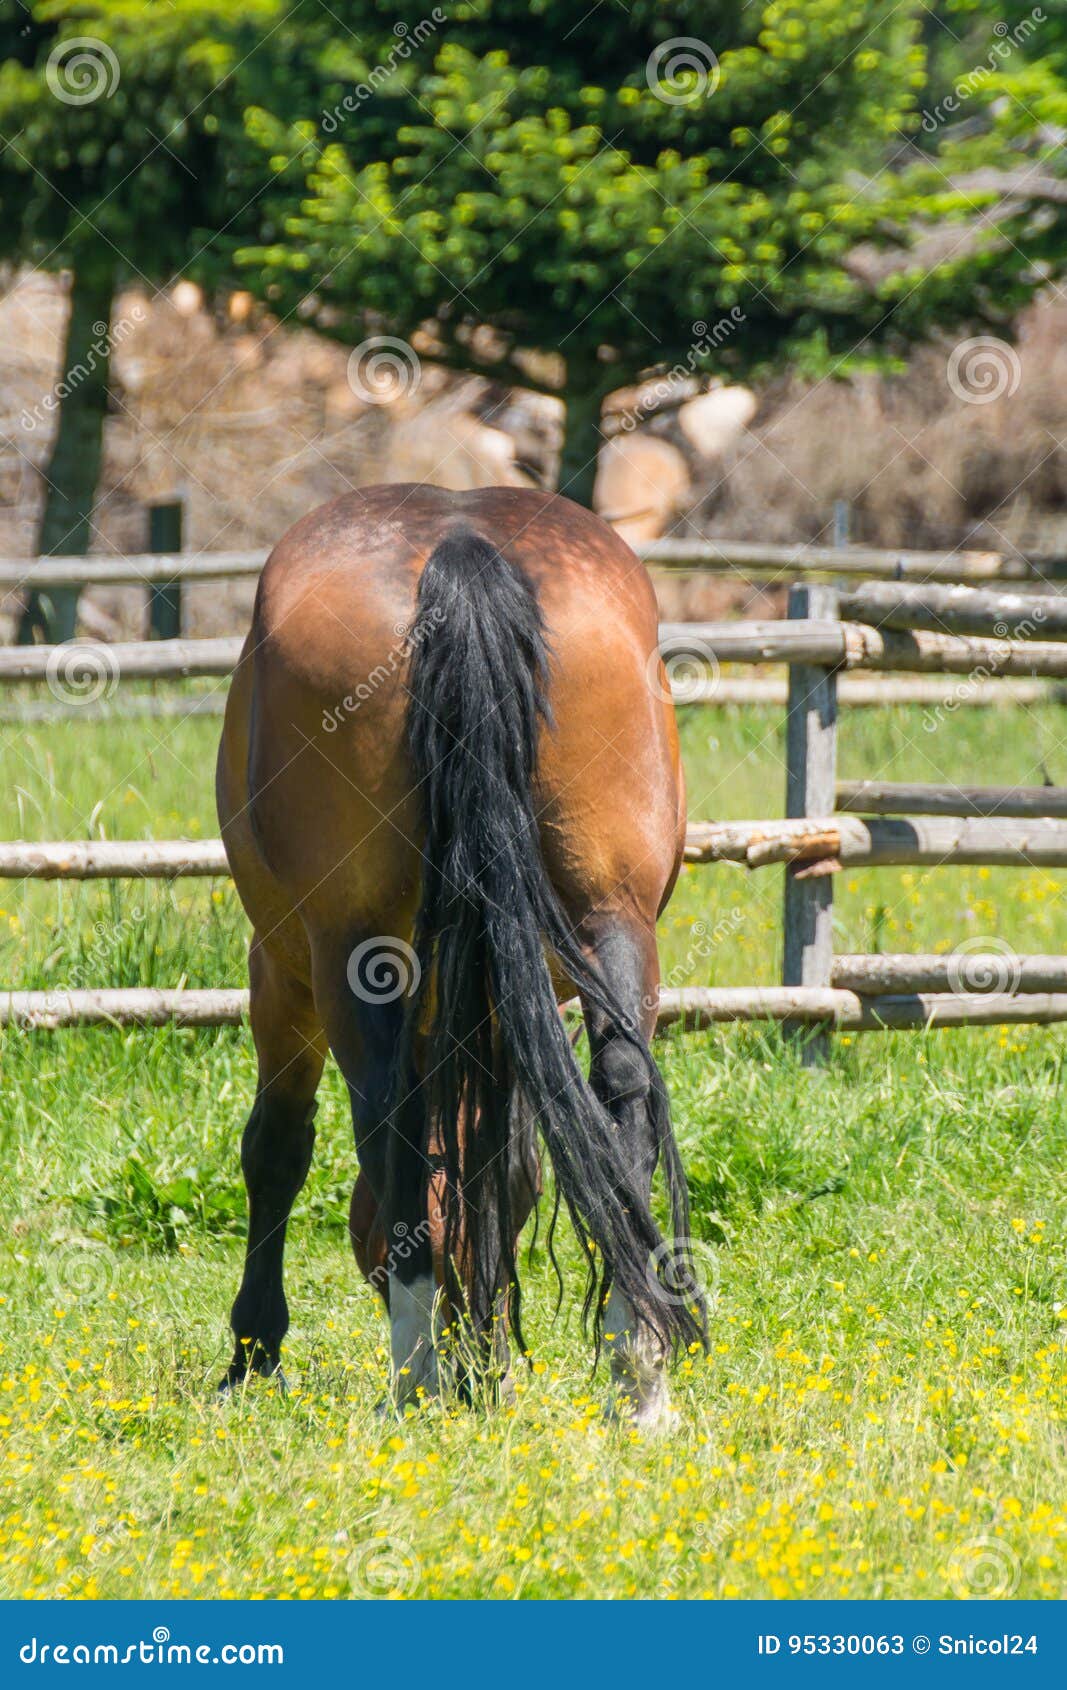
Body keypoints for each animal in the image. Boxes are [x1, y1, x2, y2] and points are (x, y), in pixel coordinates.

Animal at [216, 483, 706, 1419]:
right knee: (622, 1091)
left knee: (388, 1118)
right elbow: (502, 1171)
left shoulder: (280, 973)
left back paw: (413, 1380)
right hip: (615, 923)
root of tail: (463, 542)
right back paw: (636, 1374)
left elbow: (278, 1147)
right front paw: (488, 1351)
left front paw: (253, 1354)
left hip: (346, 955)